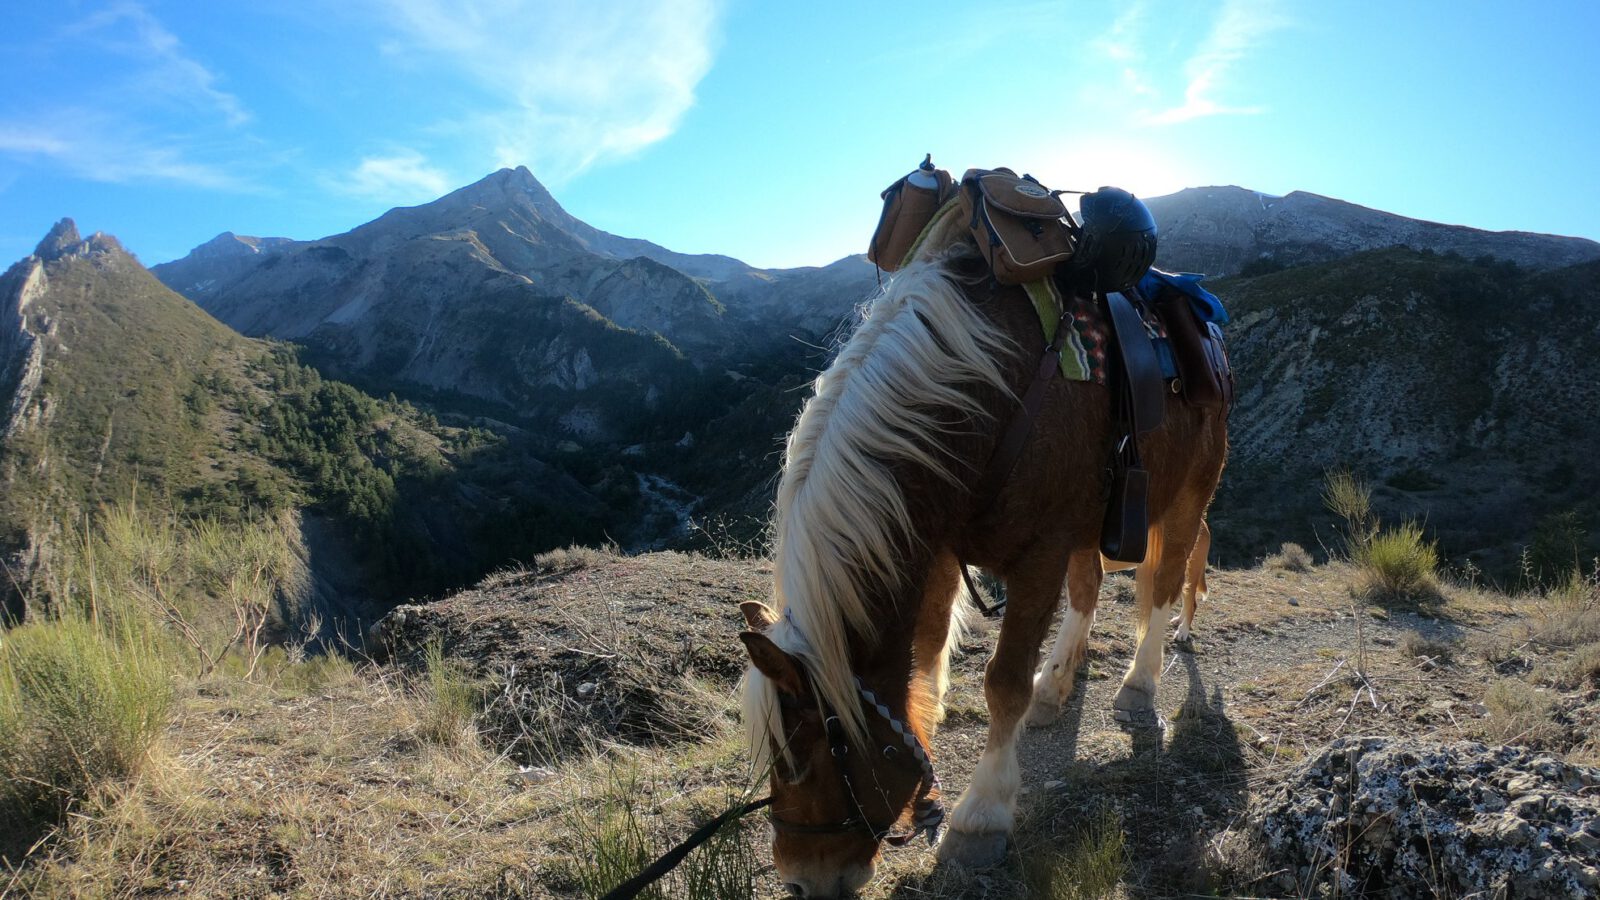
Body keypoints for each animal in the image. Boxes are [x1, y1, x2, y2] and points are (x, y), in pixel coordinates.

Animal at [736, 222, 1222, 890]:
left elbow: (1003, 682)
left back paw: (1138, 685)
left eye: (804, 754)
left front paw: (981, 814)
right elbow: (929, 648)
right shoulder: (938, 548)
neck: (984, 394)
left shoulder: (1040, 553)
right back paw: (1057, 685)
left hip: (1188, 496)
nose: (800, 878)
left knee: (1169, 582)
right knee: (1090, 589)